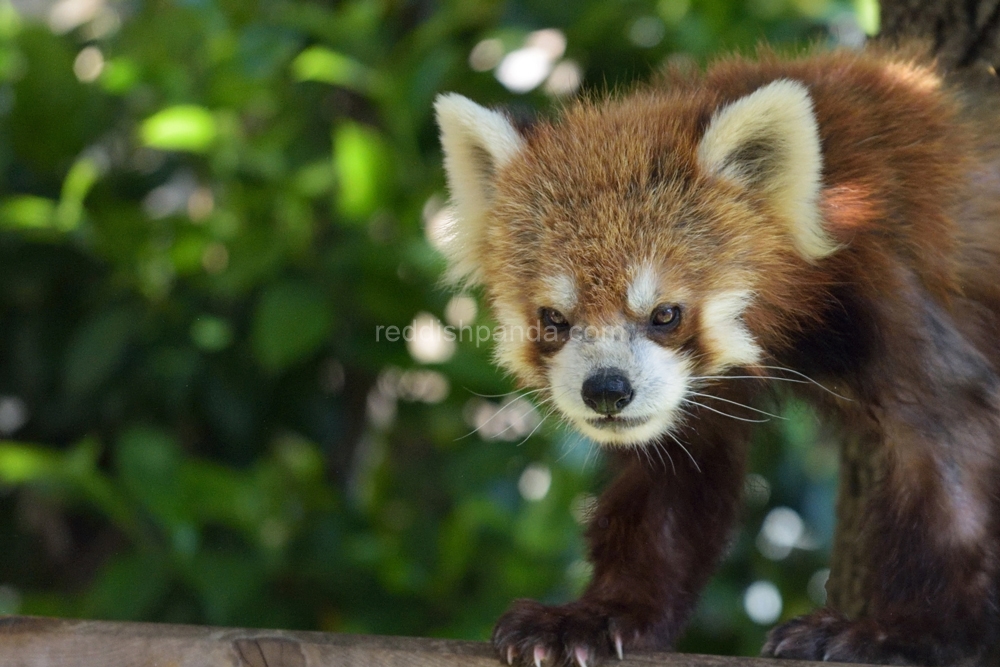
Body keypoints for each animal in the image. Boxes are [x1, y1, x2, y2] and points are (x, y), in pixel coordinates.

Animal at [434, 44, 1000, 664]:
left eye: (665, 314)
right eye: (554, 320)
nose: (606, 390)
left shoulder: (890, 274)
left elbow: (949, 445)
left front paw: (903, 632)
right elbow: (672, 481)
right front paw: (597, 614)